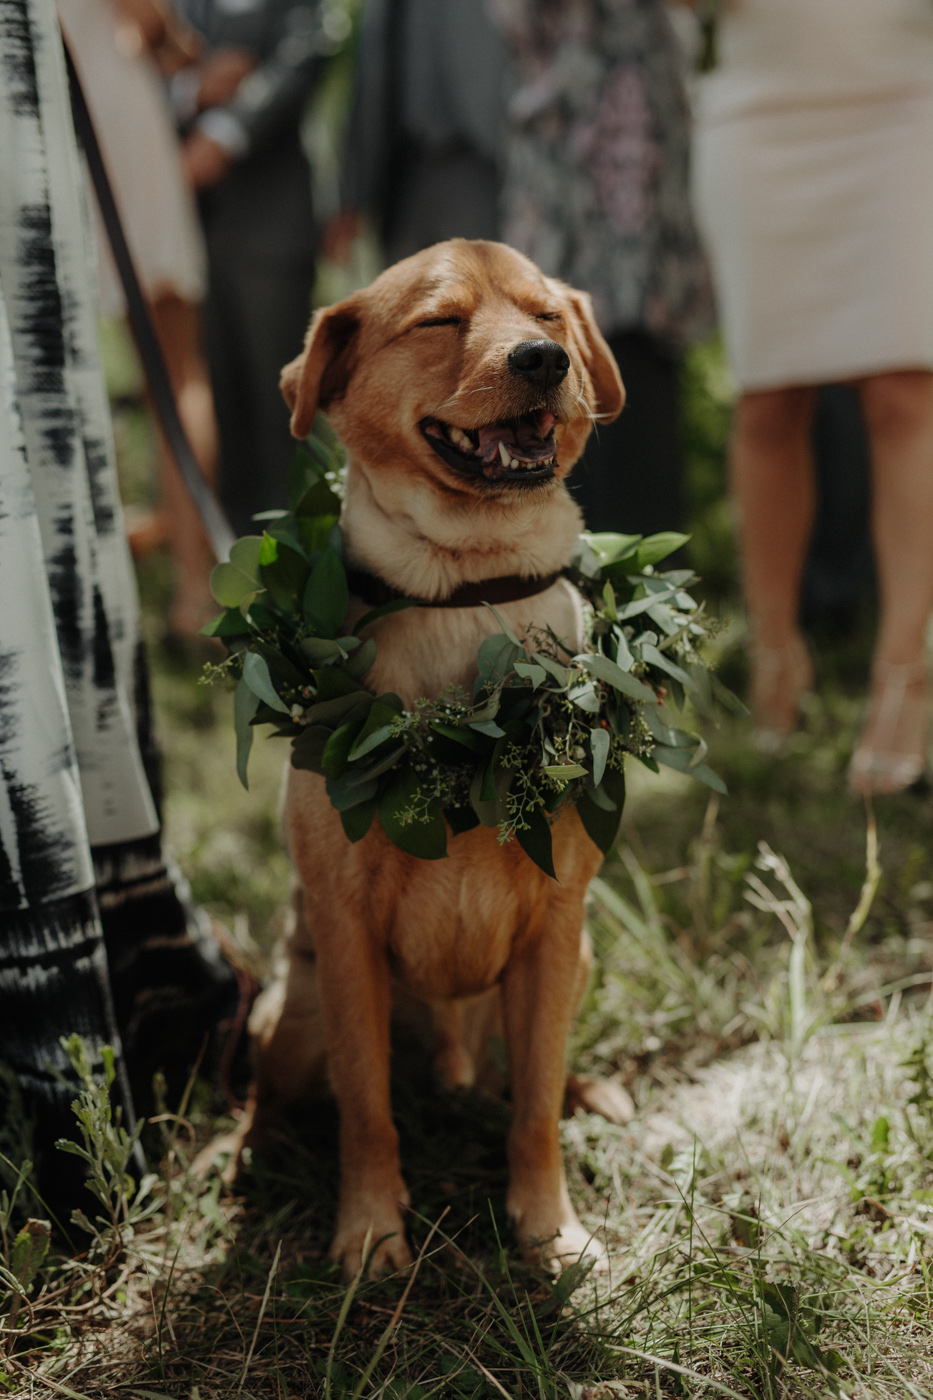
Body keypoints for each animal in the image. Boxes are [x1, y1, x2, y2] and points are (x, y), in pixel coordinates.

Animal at [236, 238, 627, 1282]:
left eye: (547, 314)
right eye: (439, 320)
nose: (544, 361)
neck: (468, 592)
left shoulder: (552, 927)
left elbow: (533, 1112)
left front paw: (548, 1229)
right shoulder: (347, 934)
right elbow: (367, 1112)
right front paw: (371, 1231)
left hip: (572, 963)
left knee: (524, 1081)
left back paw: (589, 1091)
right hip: (292, 1014)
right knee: (282, 1096)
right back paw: (252, 1157)